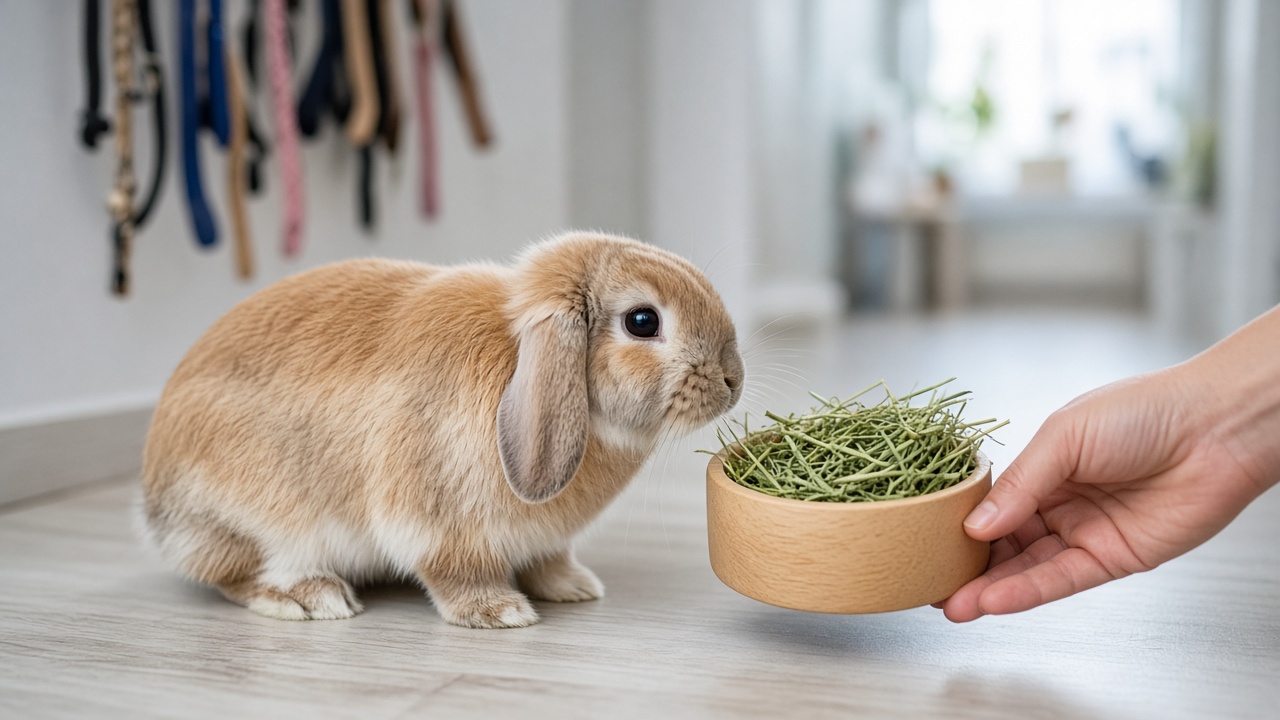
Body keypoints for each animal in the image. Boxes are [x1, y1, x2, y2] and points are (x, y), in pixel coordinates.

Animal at [140, 232, 744, 628]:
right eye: (643, 321)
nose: (733, 380)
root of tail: (156, 510)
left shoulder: (543, 538)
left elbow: (548, 559)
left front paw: (573, 588)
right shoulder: (438, 521)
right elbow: (454, 572)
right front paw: (500, 612)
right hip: (267, 519)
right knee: (236, 571)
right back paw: (311, 598)